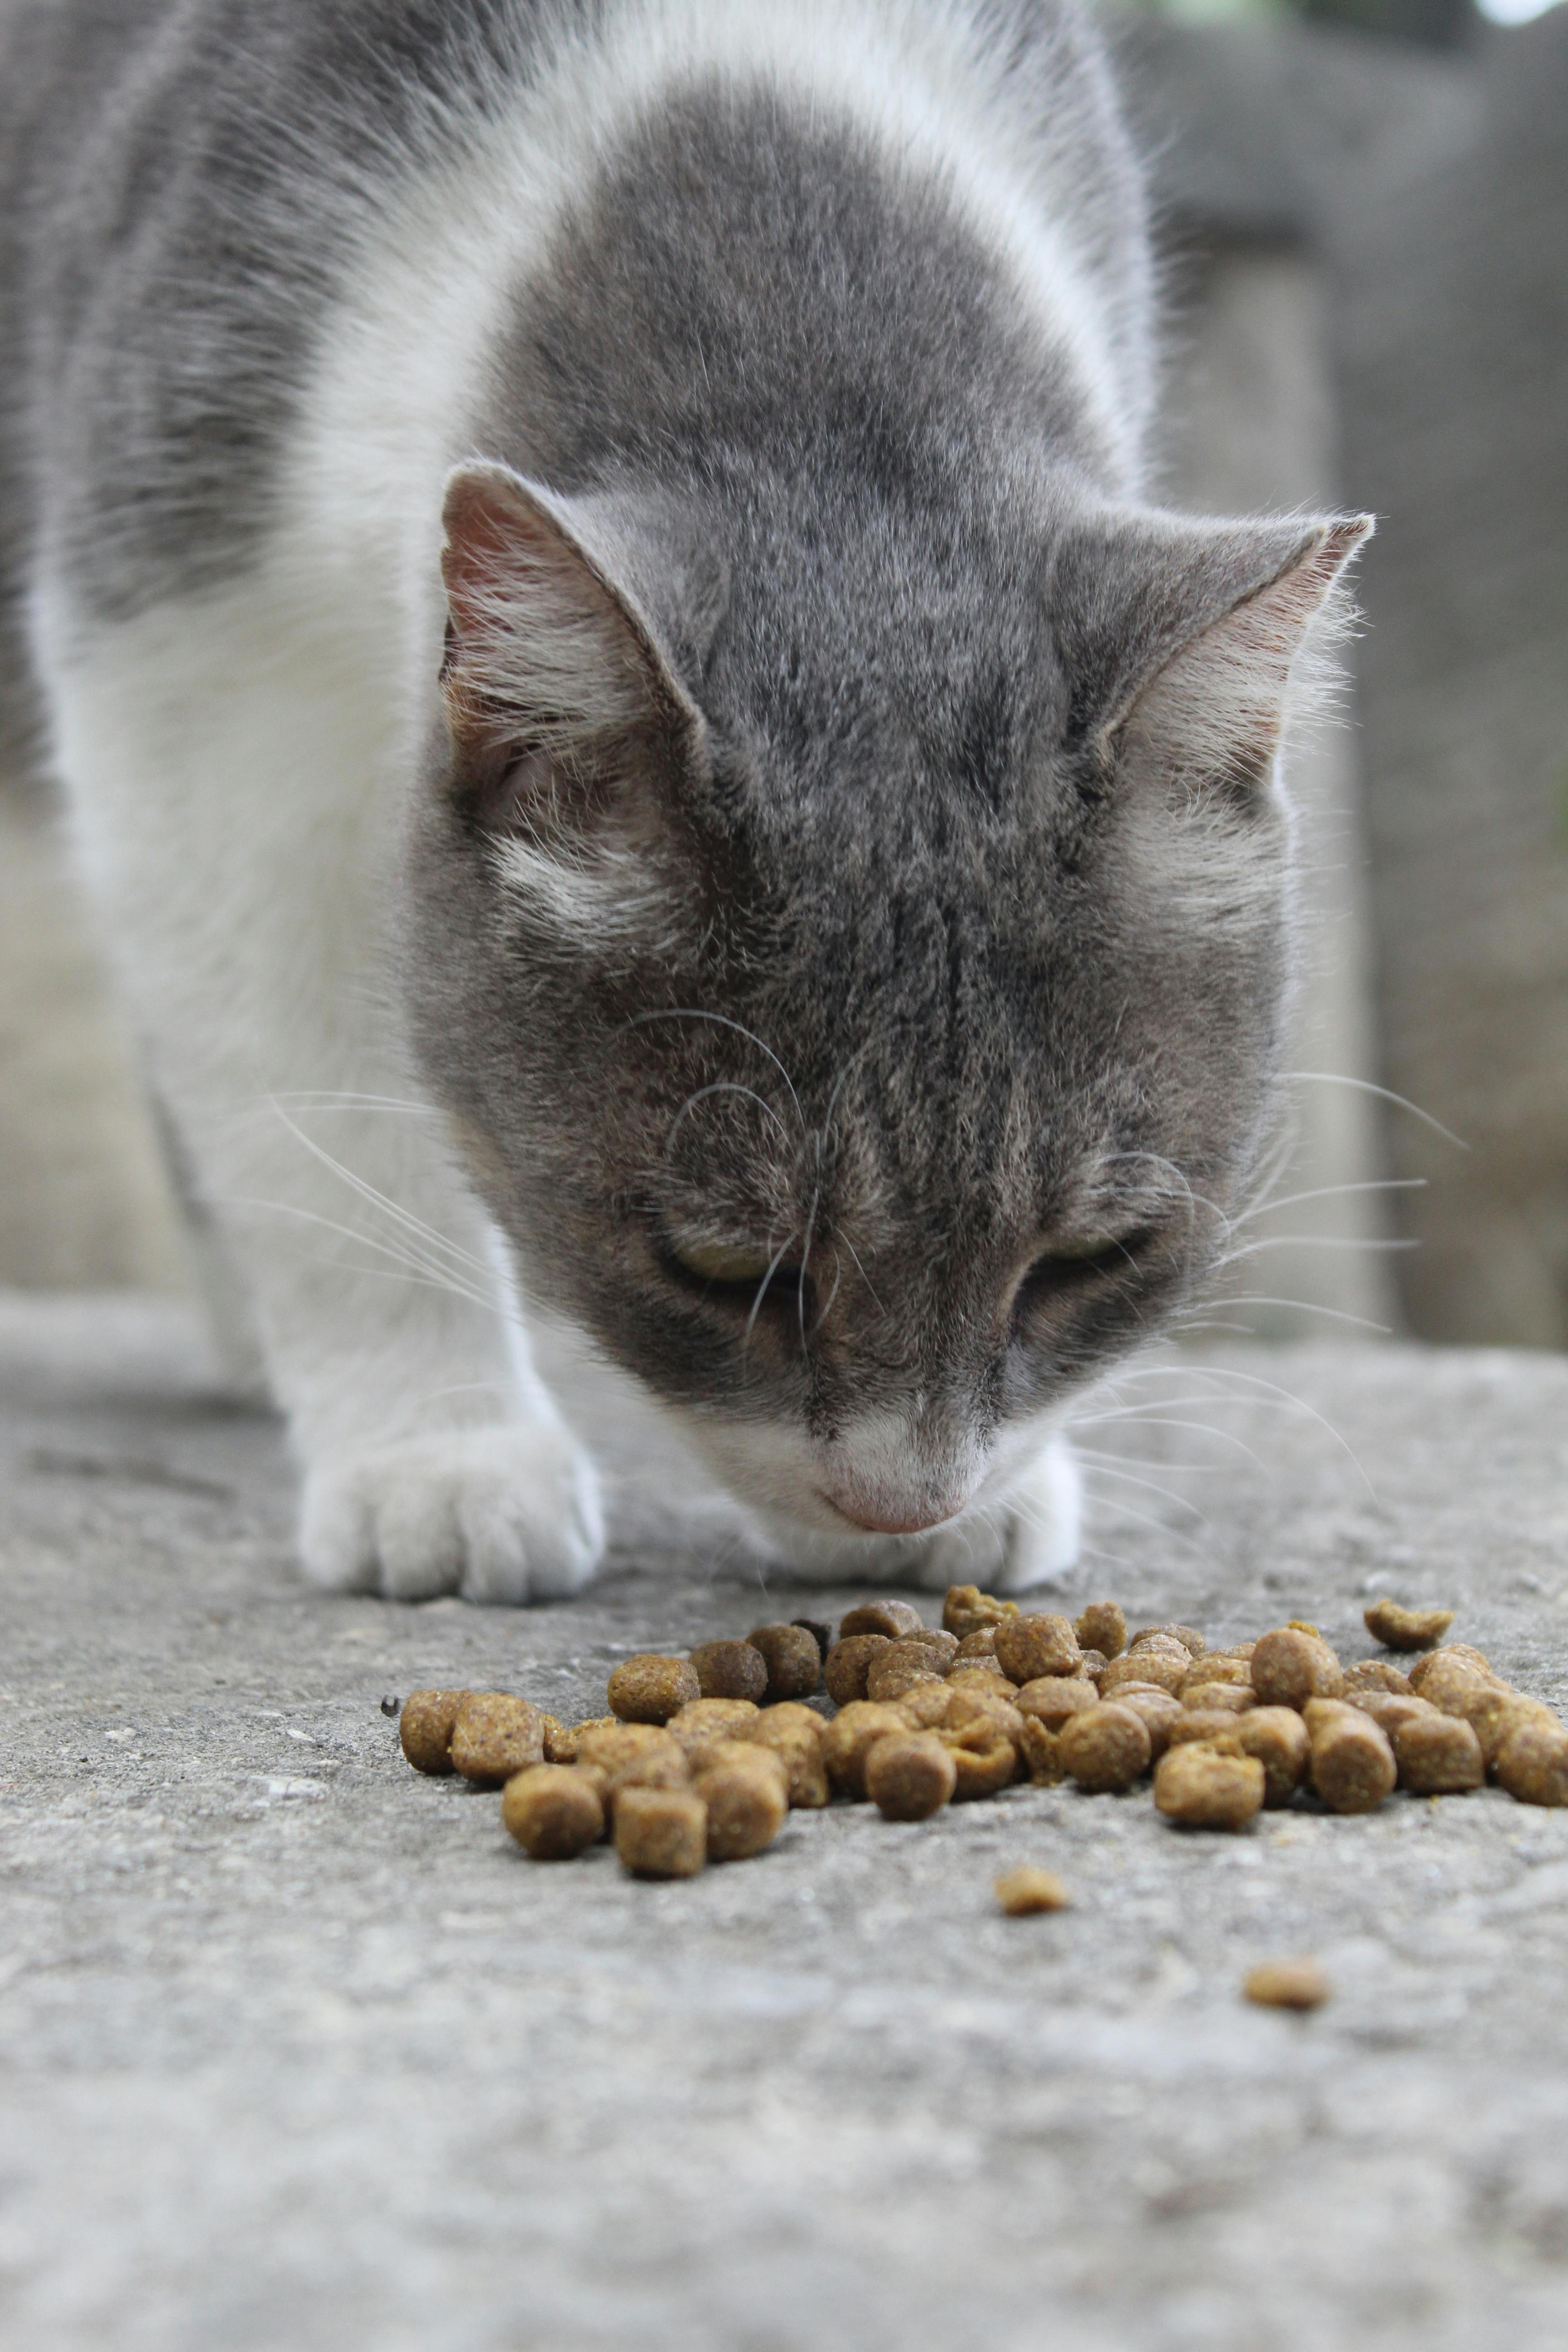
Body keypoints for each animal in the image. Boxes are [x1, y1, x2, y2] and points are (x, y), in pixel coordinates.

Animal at [0, 0, 1363, 1599]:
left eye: (1089, 1261)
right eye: (725, 1272)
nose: (903, 1506)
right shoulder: (183, 644)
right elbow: (304, 1116)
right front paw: (438, 1455)